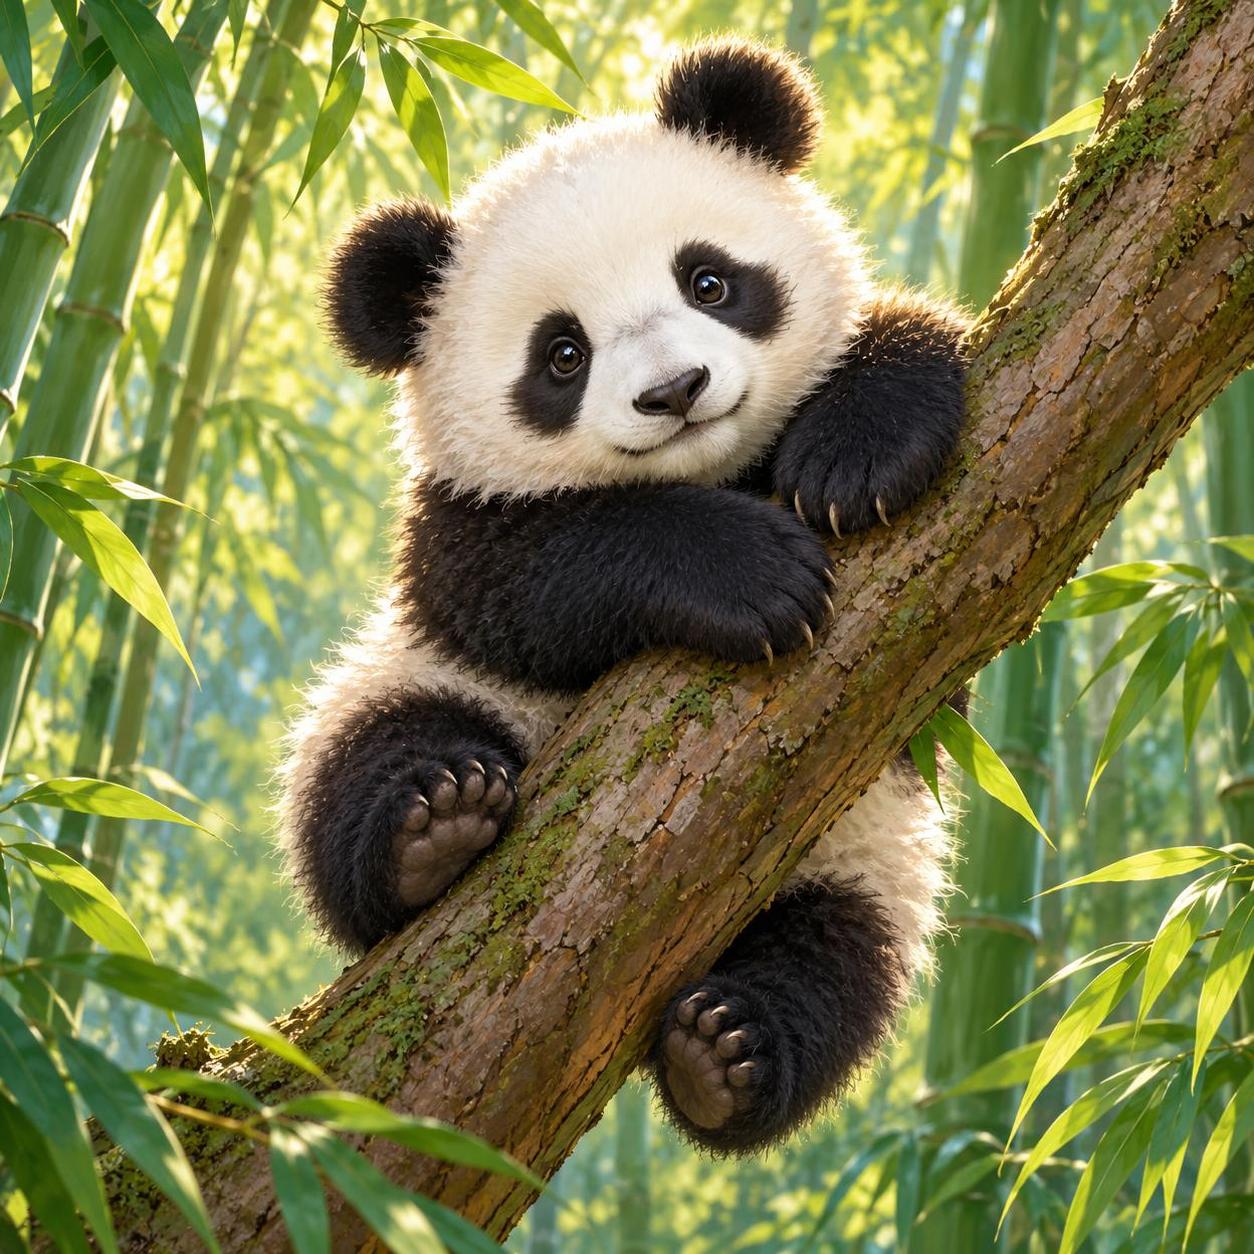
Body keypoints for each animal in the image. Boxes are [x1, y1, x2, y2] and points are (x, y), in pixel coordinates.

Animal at [280, 37, 967, 1155]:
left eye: (710, 280)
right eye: (563, 355)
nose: (674, 392)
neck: (718, 468)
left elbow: (914, 355)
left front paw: (855, 456)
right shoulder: (449, 536)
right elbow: (536, 578)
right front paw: (755, 578)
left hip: (864, 851)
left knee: (836, 967)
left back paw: (726, 1055)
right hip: (400, 690)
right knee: (359, 775)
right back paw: (432, 825)